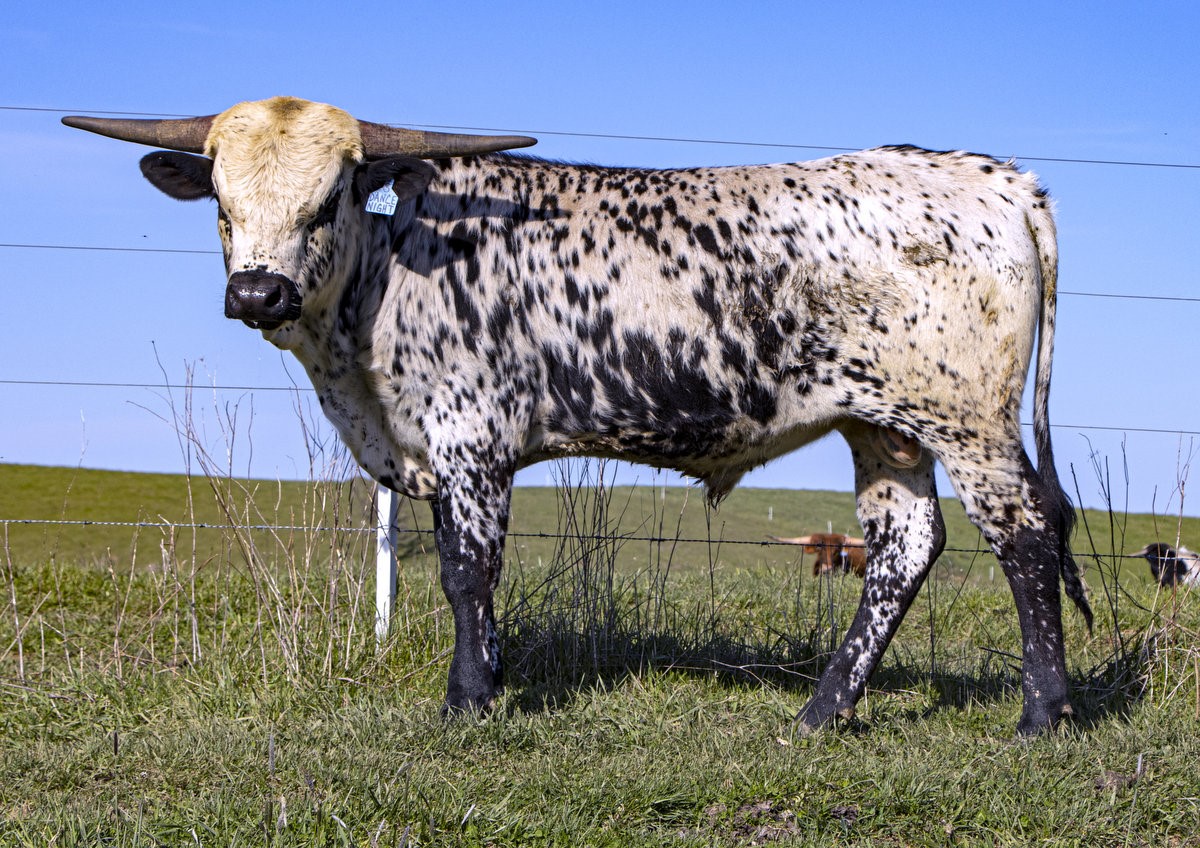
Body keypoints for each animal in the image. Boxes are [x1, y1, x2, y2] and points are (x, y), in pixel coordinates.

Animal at [64, 96, 1092, 735]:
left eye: (327, 201)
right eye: (222, 202)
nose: (258, 292)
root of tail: (999, 179)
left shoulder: (470, 437)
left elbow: (468, 575)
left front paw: (470, 700)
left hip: (966, 418)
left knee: (1025, 535)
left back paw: (1043, 715)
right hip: (885, 424)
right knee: (905, 547)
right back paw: (820, 713)